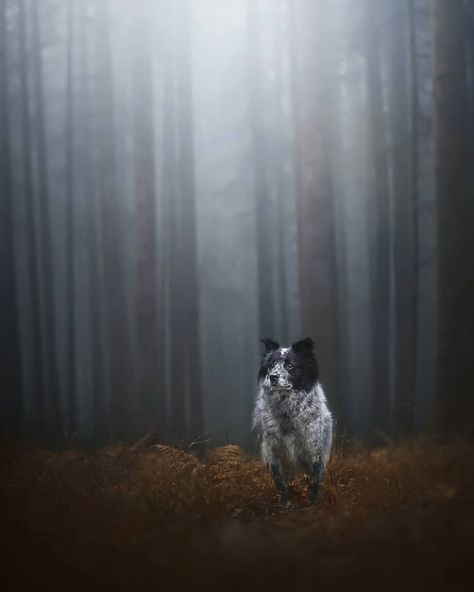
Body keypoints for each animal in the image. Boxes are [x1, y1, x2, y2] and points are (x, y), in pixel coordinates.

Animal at [252, 338, 334, 504]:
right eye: (271, 365)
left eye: (290, 365)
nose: (273, 377)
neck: (287, 409)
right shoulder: (274, 452)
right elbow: (281, 483)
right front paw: (285, 505)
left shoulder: (314, 450)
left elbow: (313, 480)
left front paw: (312, 503)